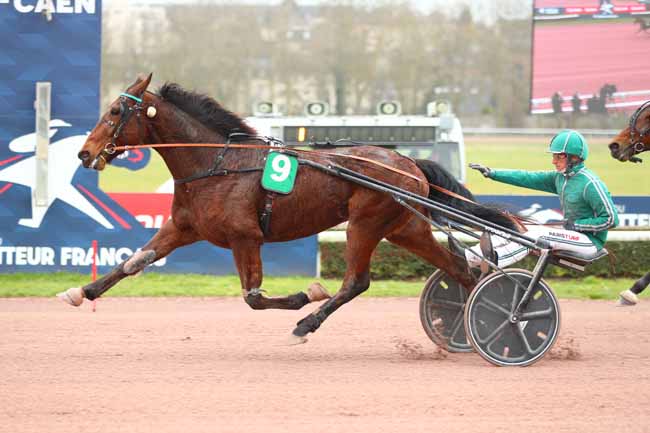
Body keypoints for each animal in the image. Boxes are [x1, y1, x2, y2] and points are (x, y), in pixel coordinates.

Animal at [60, 74, 516, 344]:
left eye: (115, 111)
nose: (85, 153)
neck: (218, 163)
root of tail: (407, 161)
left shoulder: (245, 237)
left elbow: (253, 297)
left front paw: (305, 294)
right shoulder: (183, 227)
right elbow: (133, 262)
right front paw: (80, 292)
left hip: (365, 223)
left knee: (356, 282)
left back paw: (307, 323)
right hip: (405, 227)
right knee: (461, 267)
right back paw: (470, 326)